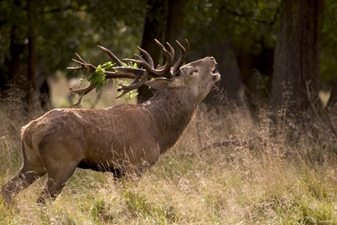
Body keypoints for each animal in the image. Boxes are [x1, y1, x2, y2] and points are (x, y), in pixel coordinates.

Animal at [1, 38, 220, 204]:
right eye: (191, 71)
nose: (211, 58)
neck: (158, 130)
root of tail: (28, 130)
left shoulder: (118, 171)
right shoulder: (135, 165)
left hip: (33, 162)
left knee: (8, 189)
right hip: (61, 162)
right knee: (43, 200)